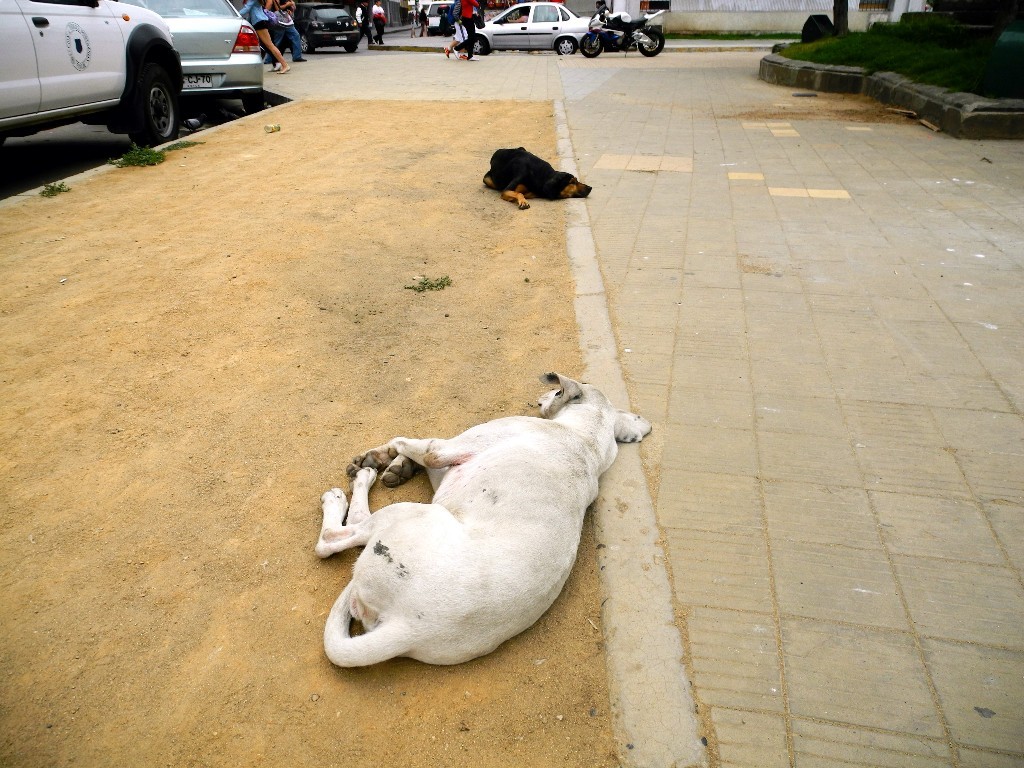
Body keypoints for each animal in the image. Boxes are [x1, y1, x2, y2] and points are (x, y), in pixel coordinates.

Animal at [313, 372, 647, 667]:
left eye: (555, 391)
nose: (538, 399)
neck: (587, 439)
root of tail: (407, 628)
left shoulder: (443, 449)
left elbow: (408, 441)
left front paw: (384, 457)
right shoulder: (447, 468)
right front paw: (398, 465)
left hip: (412, 513)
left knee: (332, 540)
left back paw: (347, 492)